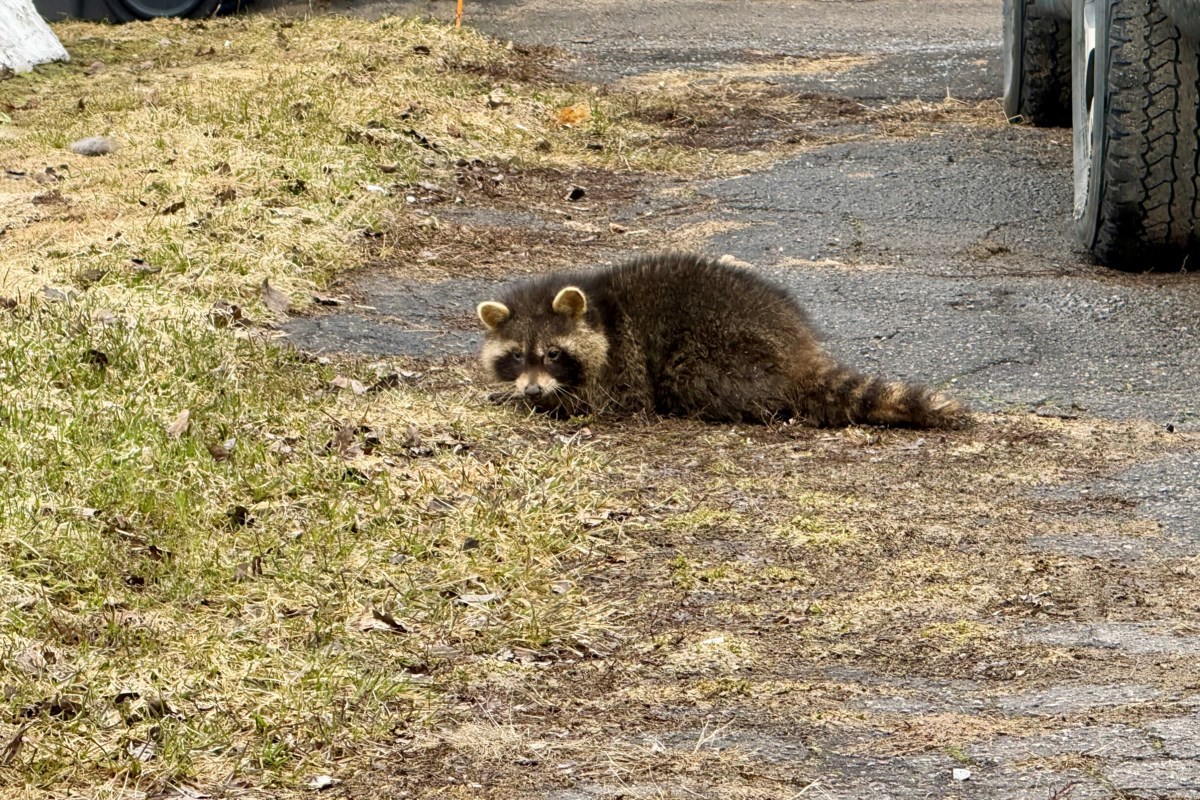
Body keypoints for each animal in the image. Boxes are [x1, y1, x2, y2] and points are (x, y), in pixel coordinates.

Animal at [475, 252, 965, 428]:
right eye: (516, 356)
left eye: (554, 354)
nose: (531, 390)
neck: (599, 310)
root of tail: (799, 345)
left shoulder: (622, 366)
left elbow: (606, 400)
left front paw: (535, 402)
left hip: (724, 351)